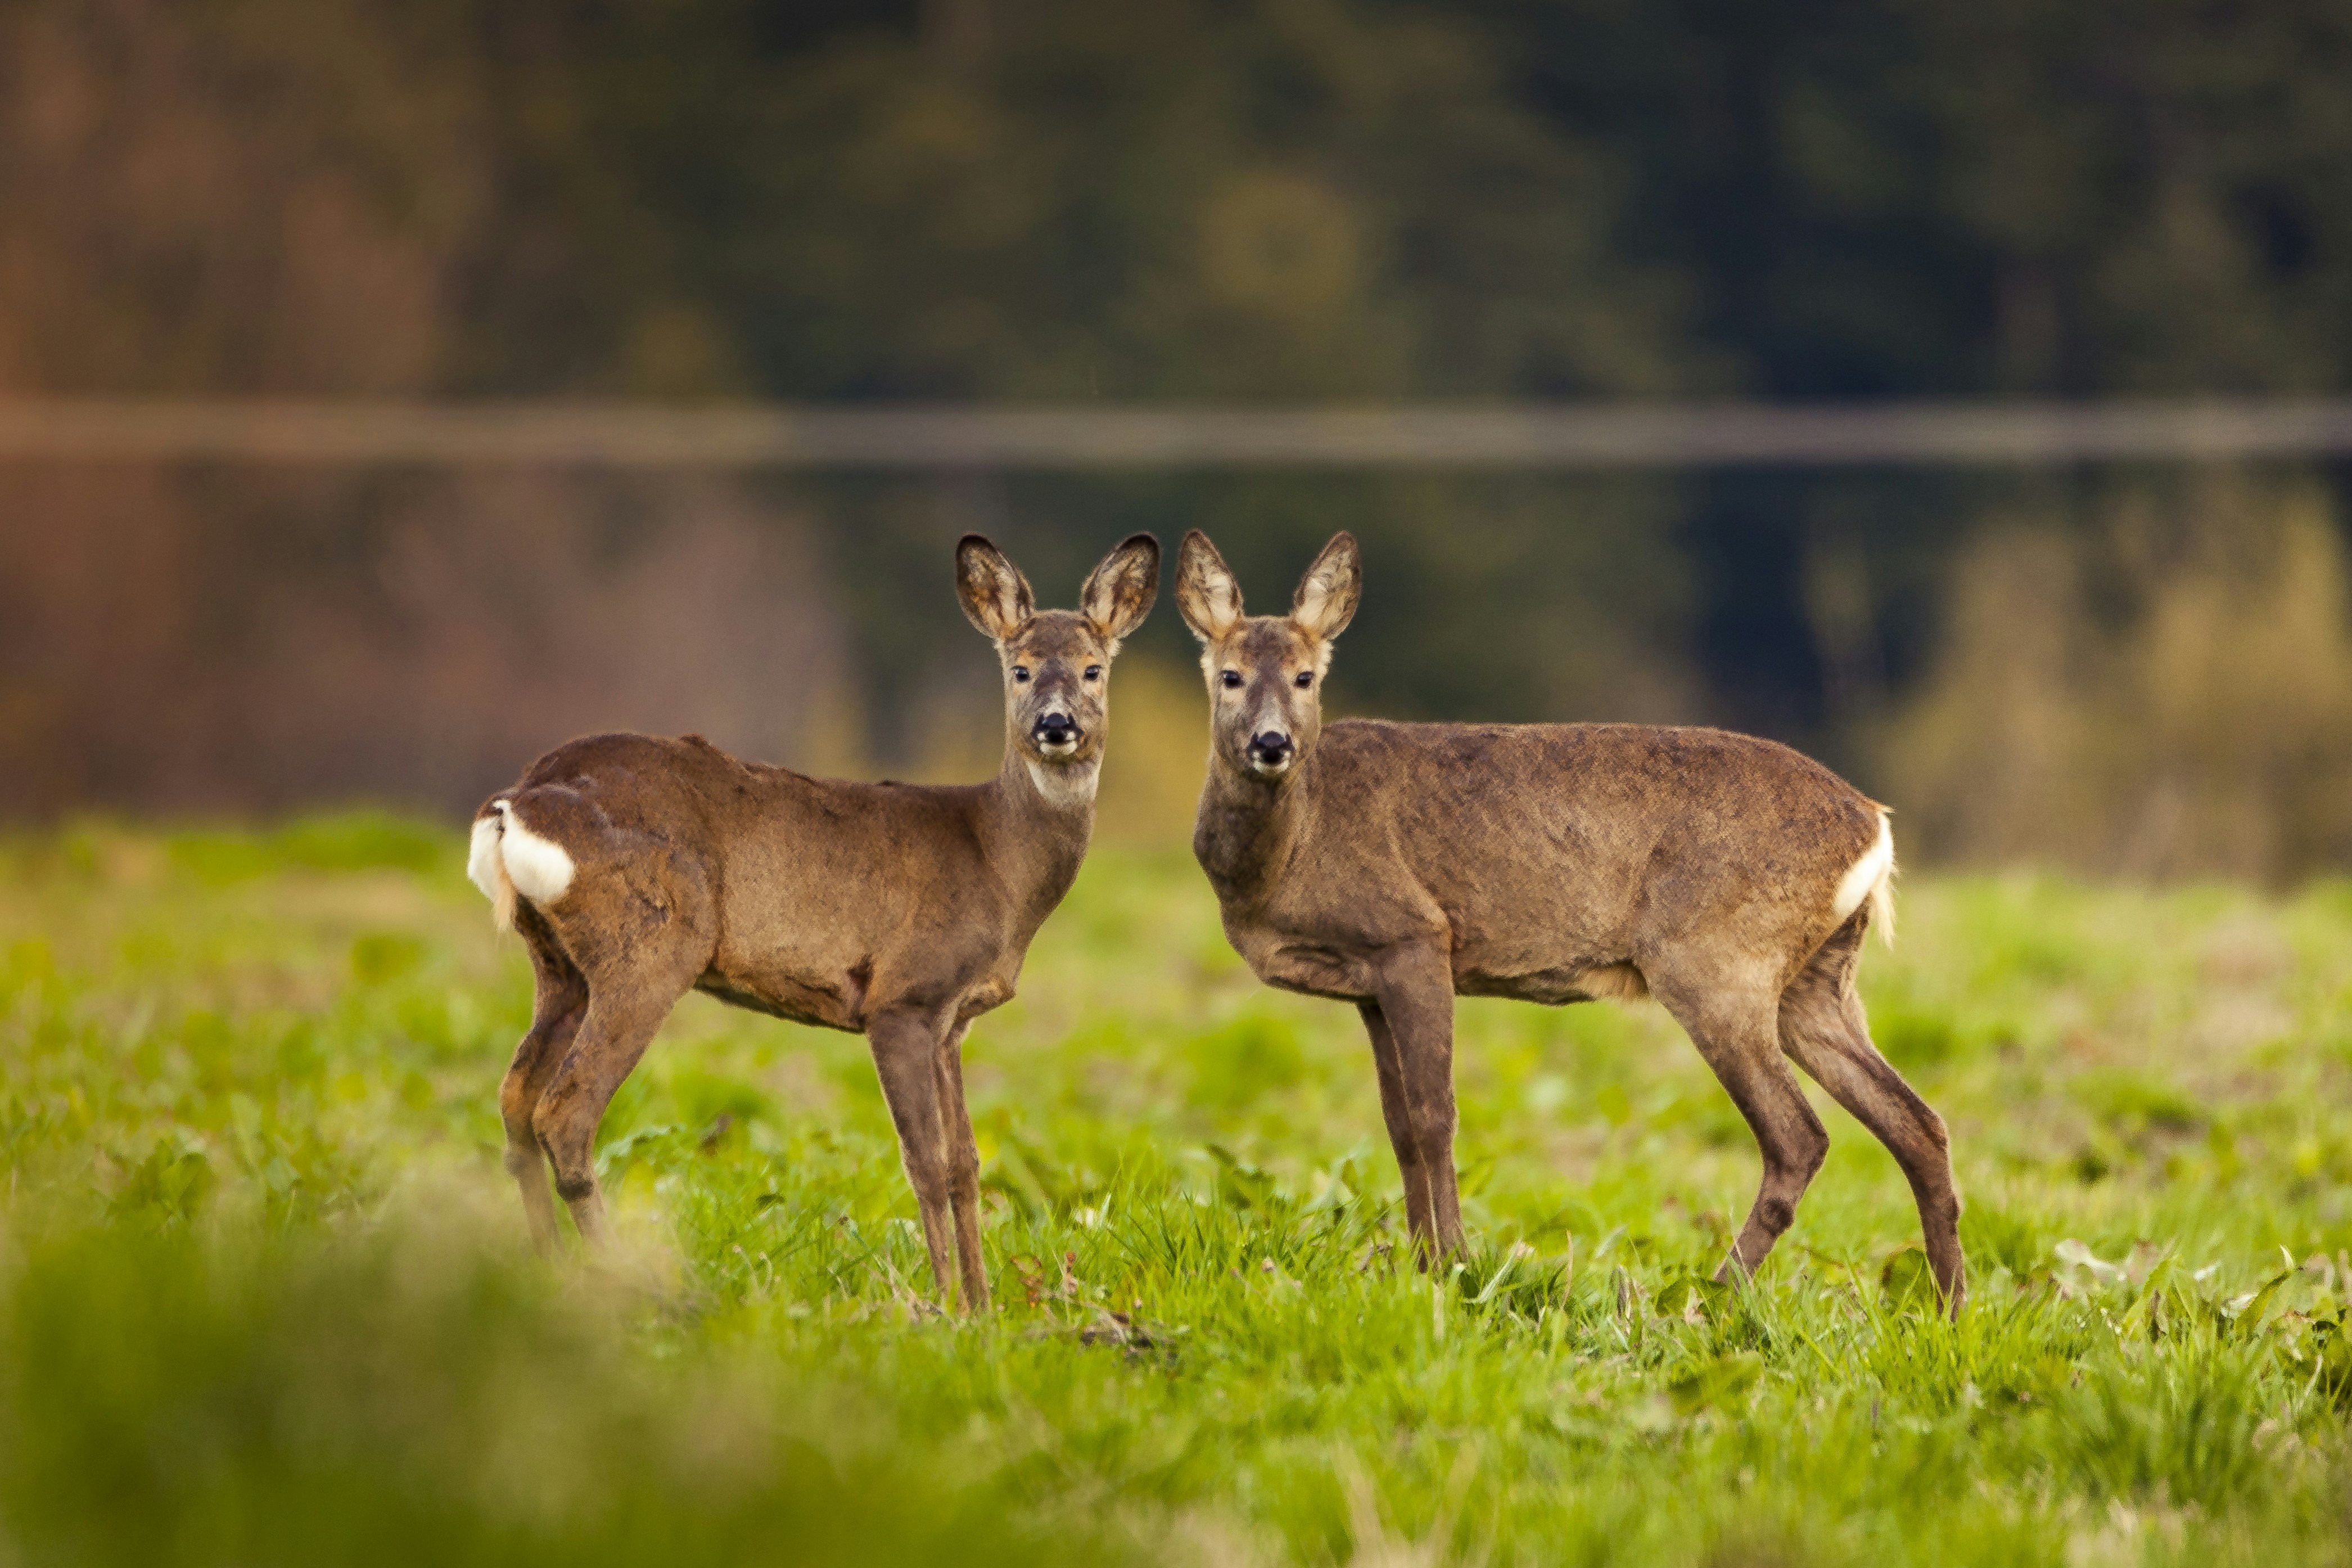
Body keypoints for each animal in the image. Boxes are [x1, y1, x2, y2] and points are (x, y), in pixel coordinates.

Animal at [465, 531, 1161, 1312]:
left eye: (1094, 668)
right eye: (1019, 669)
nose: (1055, 725)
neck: (998, 856)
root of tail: (518, 799)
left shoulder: (952, 1020)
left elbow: (966, 1162)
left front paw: (984, 1306)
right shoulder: (902, 997)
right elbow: (923, 1161)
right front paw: (942, 1304)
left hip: (559, 966)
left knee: (515, 1102)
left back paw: (547, 1273)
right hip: (650, 945)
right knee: (567, 1111)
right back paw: (637, 1288)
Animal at [1173, 530, 1964, 1314]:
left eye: (1306, 677)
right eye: (1230, 675)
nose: (1271, 743)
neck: (1293, 851)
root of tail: (1873, 824)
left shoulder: (1416, 936)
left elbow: (1434, 1114)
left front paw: (1454, 1264)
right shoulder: (1367, 981)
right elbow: (1397, 1125)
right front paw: (1421, 1266)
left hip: (1715, 962)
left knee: (1799, 1135)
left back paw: (1710, 1297)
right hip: (1816, 980)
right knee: (1917, 1122)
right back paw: (1951, 1307)